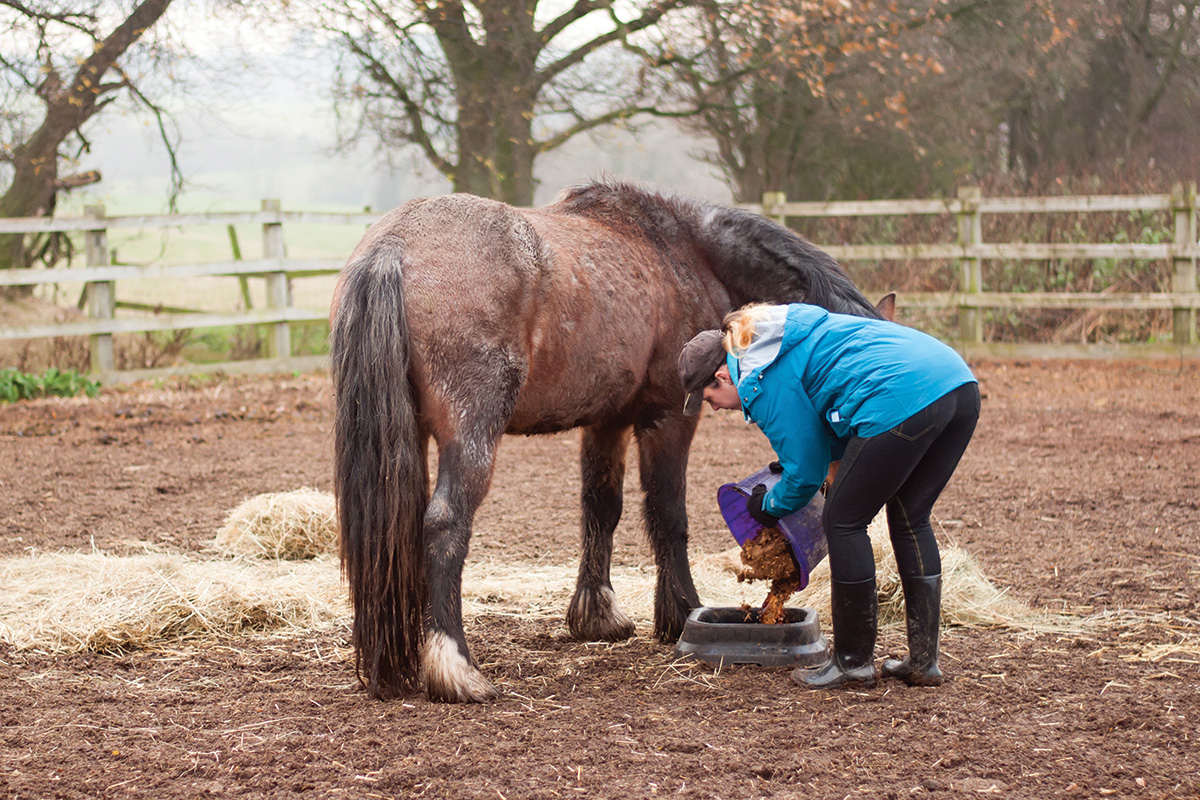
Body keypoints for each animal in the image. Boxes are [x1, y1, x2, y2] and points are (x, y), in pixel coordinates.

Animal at [333, 176, 888, 700]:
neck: (687, 252)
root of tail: (394, 247)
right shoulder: (669, 417)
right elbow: (668, 514)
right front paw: (681, 612)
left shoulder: (607, 422)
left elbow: (601, 509)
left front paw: (596, 615)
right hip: (471, 435)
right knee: (445, 525)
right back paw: (457, 668)